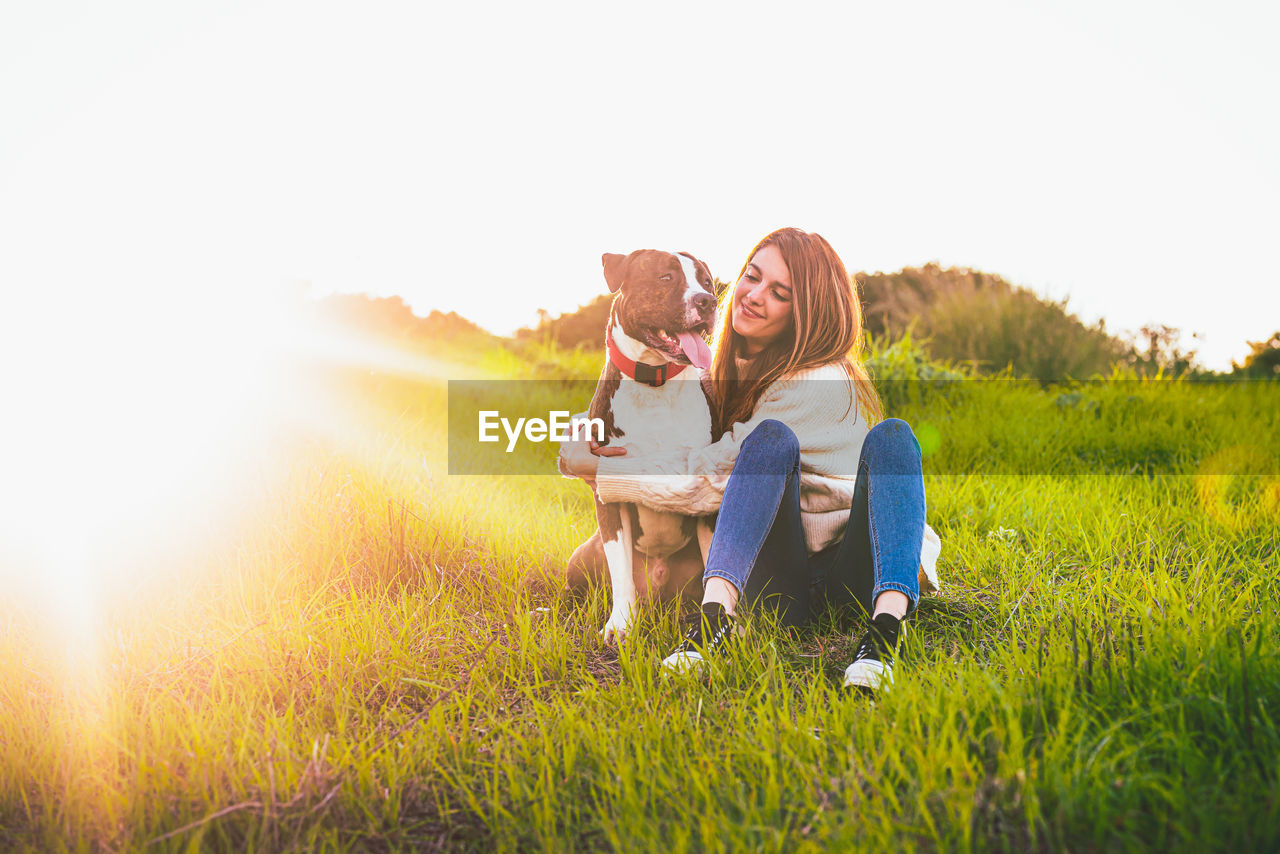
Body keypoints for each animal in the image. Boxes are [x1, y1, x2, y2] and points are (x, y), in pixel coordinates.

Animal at [583, 250, 716, 645]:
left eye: (706, 281)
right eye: (665, 277)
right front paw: (620, 625)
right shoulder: (609, 494)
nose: (708, 301)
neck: (654, 382)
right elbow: (621, 571)